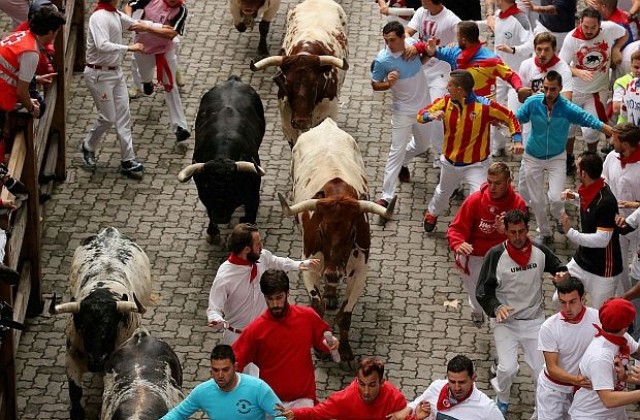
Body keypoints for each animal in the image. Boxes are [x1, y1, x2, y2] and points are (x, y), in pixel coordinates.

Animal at [178, 75, 264, 243]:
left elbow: (250, 217)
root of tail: (233, 80)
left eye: (231, 187)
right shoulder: (204, 196)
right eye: (208, 186)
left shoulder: (253, 197)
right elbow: (209, 210)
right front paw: (213, 233)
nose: (220, 217)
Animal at [278, 119, 396, 360]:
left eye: (352, 233)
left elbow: (345, 315)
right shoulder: (309, 266)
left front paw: (345, 350)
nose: (333, 273)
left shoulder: (360, 271)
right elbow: (318, 306)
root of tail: (326, 124)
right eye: (321, 231)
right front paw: (320, 347)